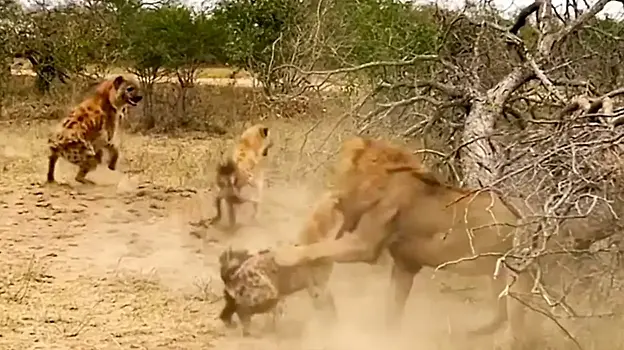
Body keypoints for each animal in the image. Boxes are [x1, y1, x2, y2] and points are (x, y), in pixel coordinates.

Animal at [276, 137, 532, 344]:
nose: (335, 198)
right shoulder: (405, 265)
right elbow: (392, 308)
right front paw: (388, 337)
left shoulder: (364, 245)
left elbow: (319, 247)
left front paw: (284, 254)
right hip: (497, 275)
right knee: (500, 315)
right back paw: (467, 334)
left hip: (518, 275)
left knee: (516, 326)